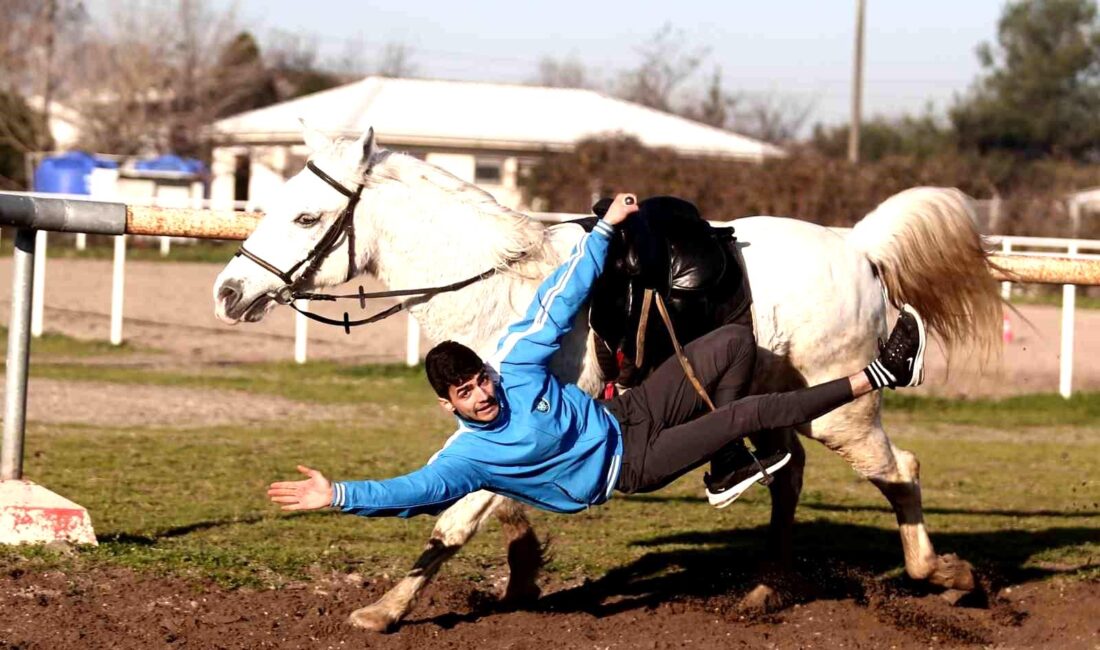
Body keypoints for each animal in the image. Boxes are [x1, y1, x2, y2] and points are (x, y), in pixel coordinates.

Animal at [210, 127, 1003, 629]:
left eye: (306, 215)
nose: (227, 291)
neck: (502, 280)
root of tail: (859, 248)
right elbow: (498, 505)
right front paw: (523, 574)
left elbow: (455, 520)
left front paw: (386, 610)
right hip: (776, 401)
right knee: (788, 474)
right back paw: (765, 589)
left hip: (840, 414)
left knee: (901, 470)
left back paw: (948, 576)